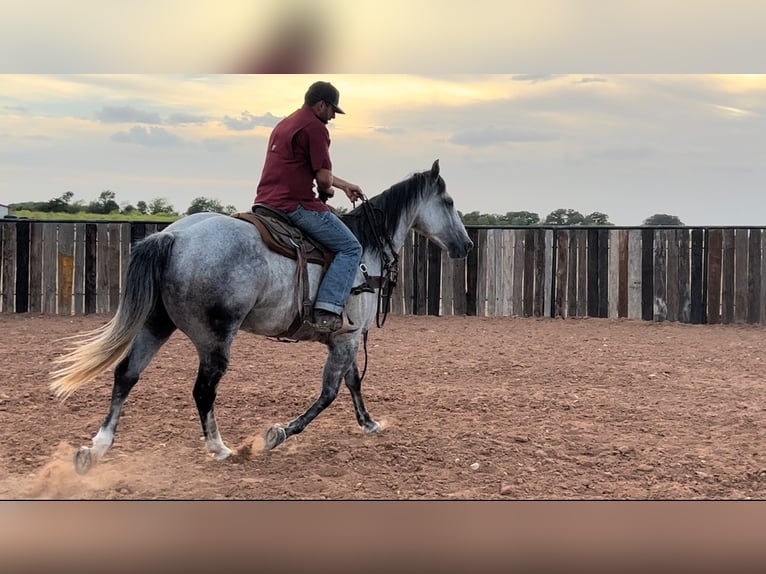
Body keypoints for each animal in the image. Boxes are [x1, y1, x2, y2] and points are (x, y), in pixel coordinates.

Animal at [49, 160, 474, 474]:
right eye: (449, 201)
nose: (466, 245)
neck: (366, 249)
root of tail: (172, 236)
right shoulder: (346, 339)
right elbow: (330, 392)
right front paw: (278, 434)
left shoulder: (347, 339)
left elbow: (353, 383)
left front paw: (369, 423)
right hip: (215, 338)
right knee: (203, 390)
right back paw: (221, 448)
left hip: (157, 324)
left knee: (126, 374)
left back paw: (96, 448)